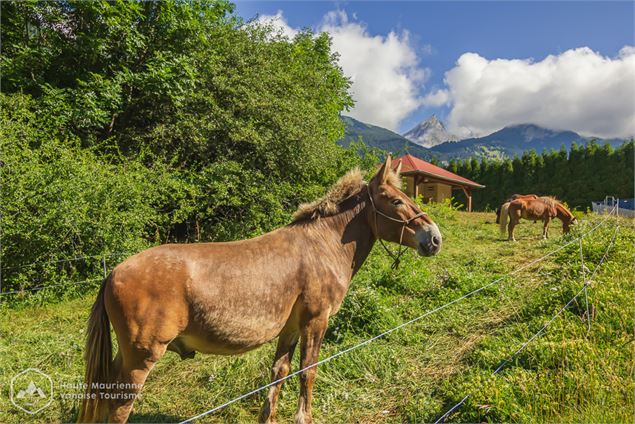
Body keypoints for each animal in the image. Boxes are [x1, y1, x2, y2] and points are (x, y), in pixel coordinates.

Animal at [78, 157, 442, 424]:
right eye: (396, 201)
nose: (434, 237)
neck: (321, 246)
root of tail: (114, 272)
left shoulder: (291, 328)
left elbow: (279, 373)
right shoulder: (315, 322)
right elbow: (307, 373)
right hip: (141, 358)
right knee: (120, 406)